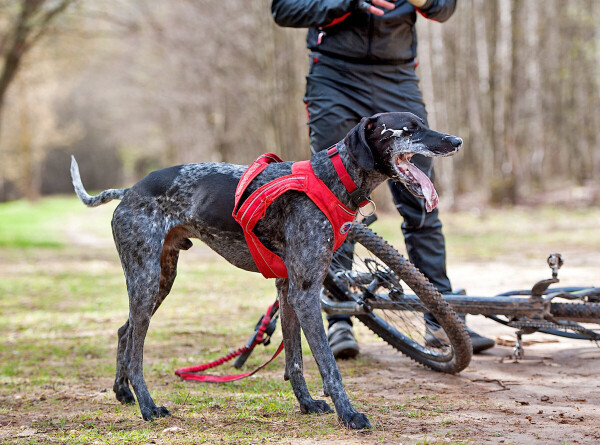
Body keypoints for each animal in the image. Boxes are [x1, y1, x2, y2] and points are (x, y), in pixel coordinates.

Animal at [71, 110, 464, 426]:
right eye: (409, 128)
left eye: (423, 123)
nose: (456, 141)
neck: (329, 178)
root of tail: (129, 191)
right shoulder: (306, 294)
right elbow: (329, 367)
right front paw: (349, 414)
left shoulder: (289, 292)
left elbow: (295, 361)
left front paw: (307, 404)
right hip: (147, 279)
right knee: (136, 349)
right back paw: (147, 406)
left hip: (159, 281)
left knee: (124, 331)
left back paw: (123, 392)